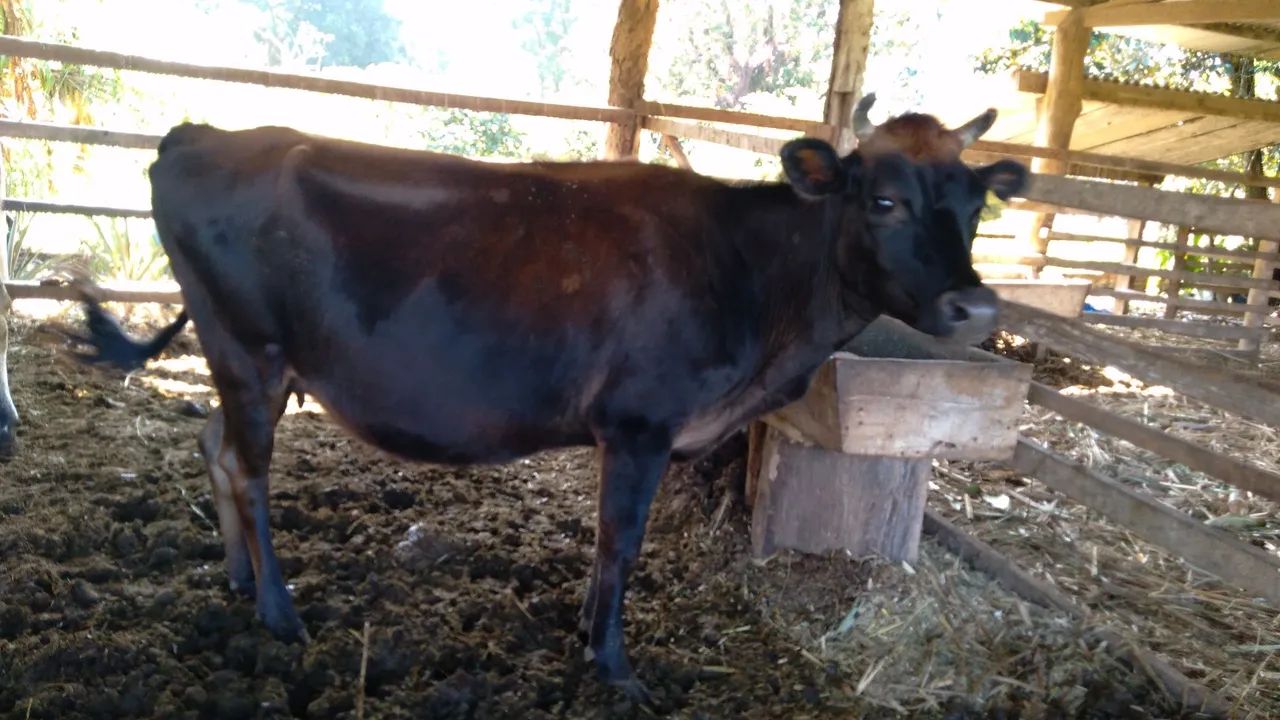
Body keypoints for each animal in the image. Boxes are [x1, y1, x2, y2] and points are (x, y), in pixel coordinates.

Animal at [69, 94, 1026, 701]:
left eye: (978, 203)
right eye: (884, 198)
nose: (974, 307)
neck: (756, 280)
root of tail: (201, 134)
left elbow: (607, 545)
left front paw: (588, 634)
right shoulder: (639, 425)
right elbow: (621, 543)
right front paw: (614, 663)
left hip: (241, 361)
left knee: (215, 449)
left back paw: (237, 578)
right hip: (249, 352)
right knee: (250, 469)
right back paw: (277, 611)